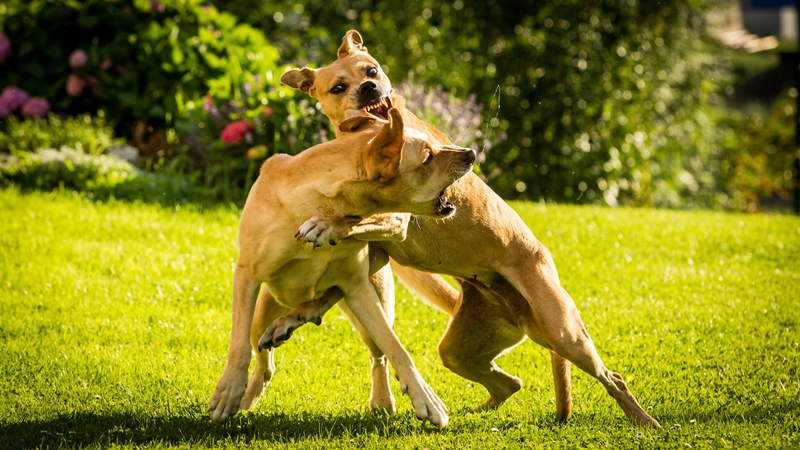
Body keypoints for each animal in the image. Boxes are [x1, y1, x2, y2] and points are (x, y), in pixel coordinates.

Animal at [209, 107, 478, 428]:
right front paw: (228, 393)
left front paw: (425, 398)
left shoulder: (358, 288)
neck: (321, 201)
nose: (472, 153)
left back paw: (379, 397)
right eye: (427, 156)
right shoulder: (246, 274)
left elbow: (397, 348)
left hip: (373, 299)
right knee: (262, 356)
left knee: (377, 353)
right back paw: (249, 392)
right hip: (263, 311)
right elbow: (238, 346)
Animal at [247, 30, 660, 426]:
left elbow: (353, 221)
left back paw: (645, 422)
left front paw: (323, 225)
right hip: (463, 349)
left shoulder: (397, 221)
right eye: (338, 86)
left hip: (564, 333)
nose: (369, 88)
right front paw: (288, 320)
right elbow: (328, 289)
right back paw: (477, 411)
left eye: (371, 70)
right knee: (510, 382)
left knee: (612, 377)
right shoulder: (378, 254)